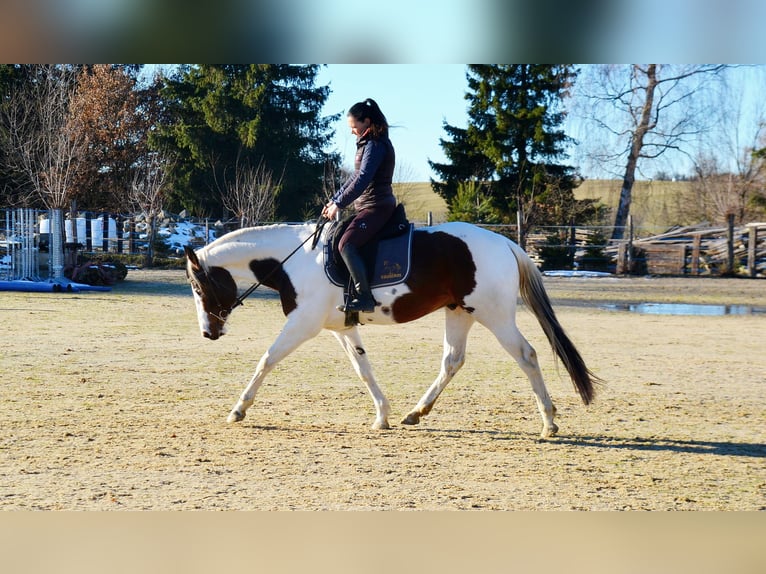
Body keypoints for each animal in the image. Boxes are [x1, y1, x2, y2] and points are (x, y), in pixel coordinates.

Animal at [184, 220, 600, 438]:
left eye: (199, 288)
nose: (208, 333)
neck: (294, 260)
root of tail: (505, 243)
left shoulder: (303, 324)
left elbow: (266, 359)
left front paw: (238, 410)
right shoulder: (340, 328)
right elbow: (363, 369)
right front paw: (382, 416)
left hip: (494, 315)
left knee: (527, 356)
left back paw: (549, 422)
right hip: (460, 312)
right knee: (452, 361)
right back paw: (416, 412)